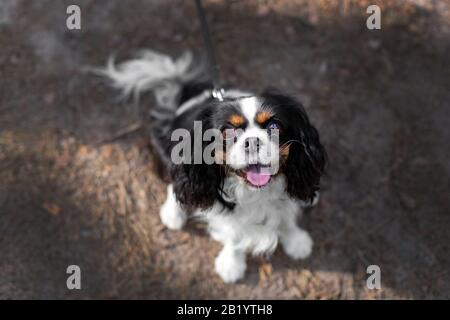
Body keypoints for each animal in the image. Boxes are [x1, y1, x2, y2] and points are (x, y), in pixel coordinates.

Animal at [101, 50, 326, 282]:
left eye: (274, 126)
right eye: (227, 132)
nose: (252, 141)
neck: (257, 192)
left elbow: (286, 217)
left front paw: (296, 241)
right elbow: (234, 237)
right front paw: (231, 265)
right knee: (174, 185)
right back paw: (173, 215)